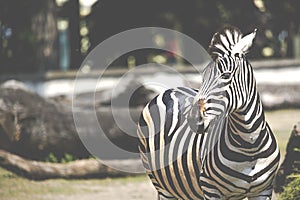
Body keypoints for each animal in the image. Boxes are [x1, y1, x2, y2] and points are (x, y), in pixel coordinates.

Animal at [137, 25, 280, 199]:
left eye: (226, 75)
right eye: (203, 78)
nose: (193, 119)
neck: (250, 145)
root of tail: (169, 90)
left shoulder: (264, 190)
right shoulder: (210, 188)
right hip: (161, 184)